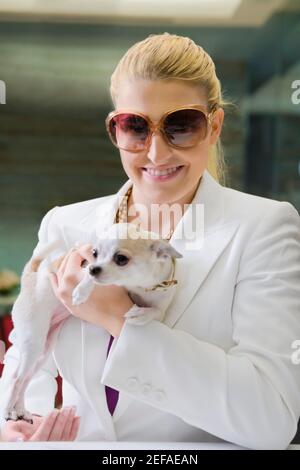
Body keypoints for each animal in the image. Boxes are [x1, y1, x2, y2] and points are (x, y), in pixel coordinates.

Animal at [0, 222, 180, 424]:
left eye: (121, 259)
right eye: (94, 253)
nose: (94, 268)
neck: (139, 286)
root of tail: (30, 277)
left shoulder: (161, 308)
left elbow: (155, 312)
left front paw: (139, 314)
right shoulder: (85, 266)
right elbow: (87, 279)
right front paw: (81, 292)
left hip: (43, 350)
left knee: (25, 379)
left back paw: (21, 410)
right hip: (33, 340)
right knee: (16, 378)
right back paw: (8, 410)